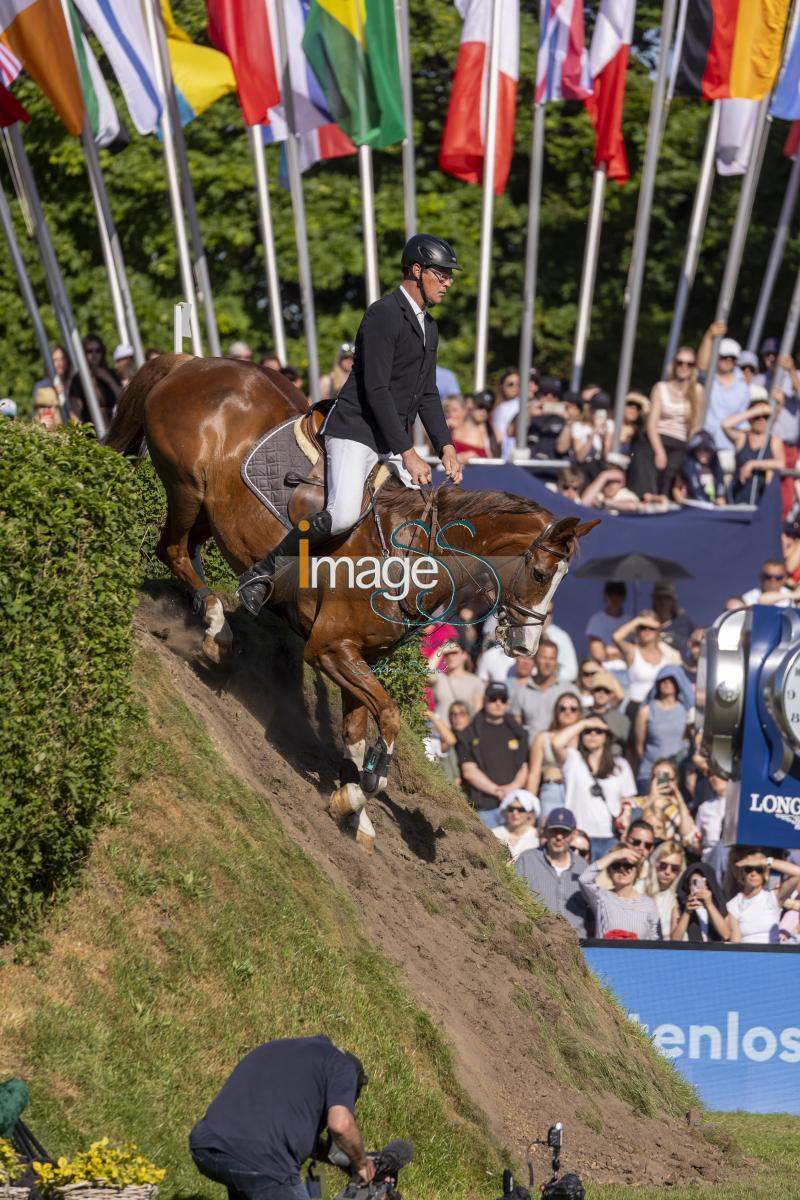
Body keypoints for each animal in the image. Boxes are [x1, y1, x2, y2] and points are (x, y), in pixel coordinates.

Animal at [106, 350, 597, 849]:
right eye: (539, 574)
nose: (525, 646)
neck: (410, 556)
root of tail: (193, 361)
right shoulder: (330, 649)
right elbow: (389, 718)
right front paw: (364, 790)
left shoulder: (360, 657)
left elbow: (356, 731)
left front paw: (354, 808)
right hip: (187, 488)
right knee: (172, 550)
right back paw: (216, 626)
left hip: (209, 509)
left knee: (187, 550)